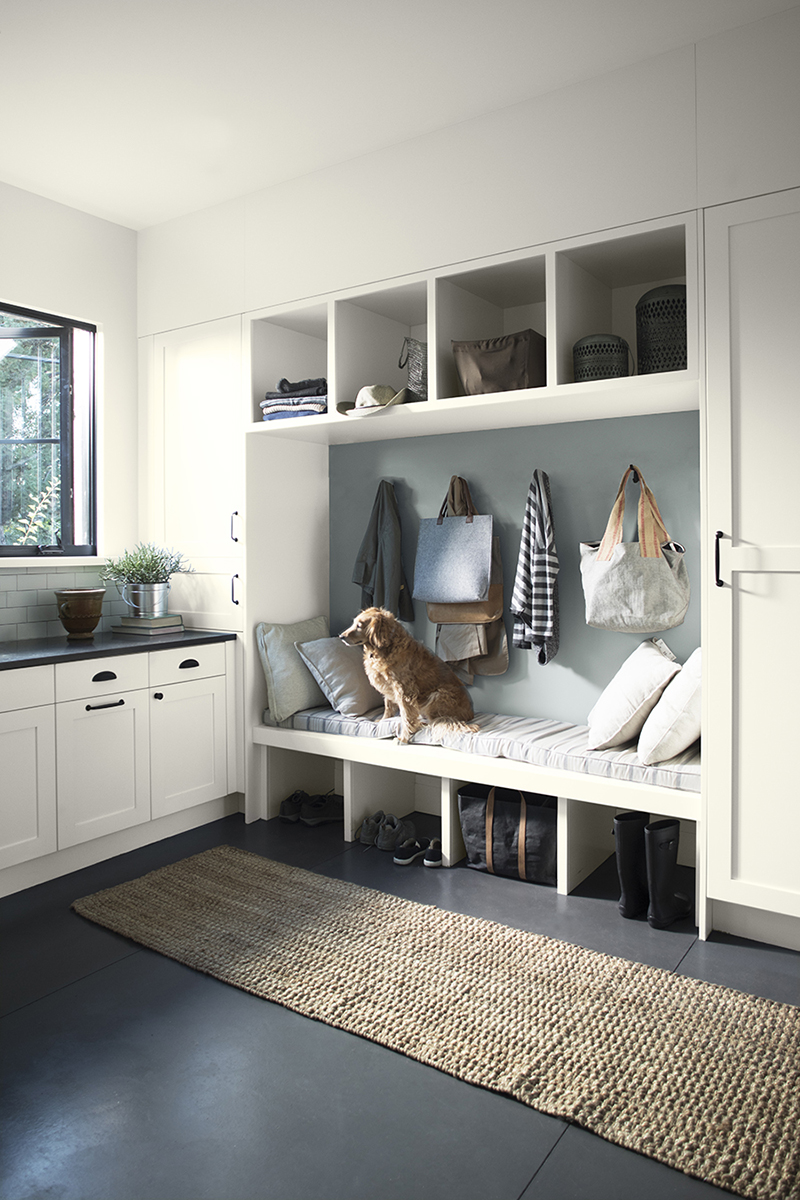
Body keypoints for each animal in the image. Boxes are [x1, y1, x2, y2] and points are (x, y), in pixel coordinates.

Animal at [340, 609, 479, 739]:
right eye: (354, 623)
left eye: (359, 626)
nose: (341, 636)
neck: (385, 647)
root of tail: (470, 715)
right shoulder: (388, 686)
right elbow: (388, 707)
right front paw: (383, 721)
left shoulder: (404, 688)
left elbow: (406, 713)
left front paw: (406, 733)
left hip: (438, 694)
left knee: (438, 721)